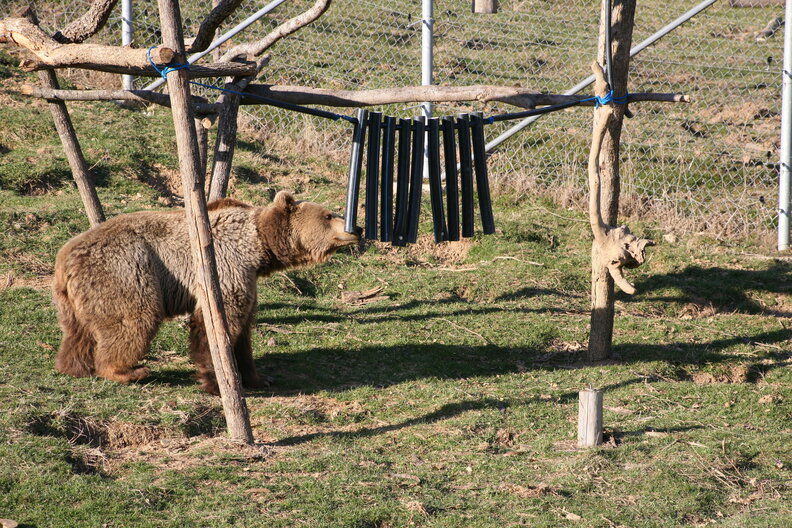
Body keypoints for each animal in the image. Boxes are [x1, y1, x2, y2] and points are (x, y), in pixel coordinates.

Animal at [52, 191, 361, 395]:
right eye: (329, 215)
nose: (355, 228)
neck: (260, 245)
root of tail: (64, 260)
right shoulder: (227, 266)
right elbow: (217, 324)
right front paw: (217, 382)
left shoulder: (247, 278)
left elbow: (244, 333)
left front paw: (259, 378)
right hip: (125, 271)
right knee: (133, 320)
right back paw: (126, 371)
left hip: (77, 298)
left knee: (78, 333)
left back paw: (74, 366)